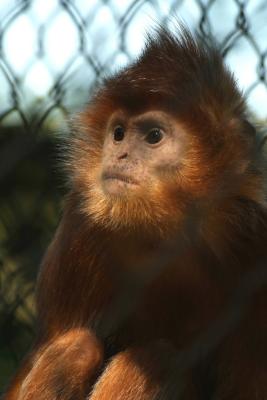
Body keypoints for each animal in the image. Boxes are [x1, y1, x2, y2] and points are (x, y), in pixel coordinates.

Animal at [3, 25, 267, 400]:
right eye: (118, 134)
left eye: (153, 136)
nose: (119, 155)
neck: (165, 234)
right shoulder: (79, 230)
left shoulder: (255, 250)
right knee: (82, 347)